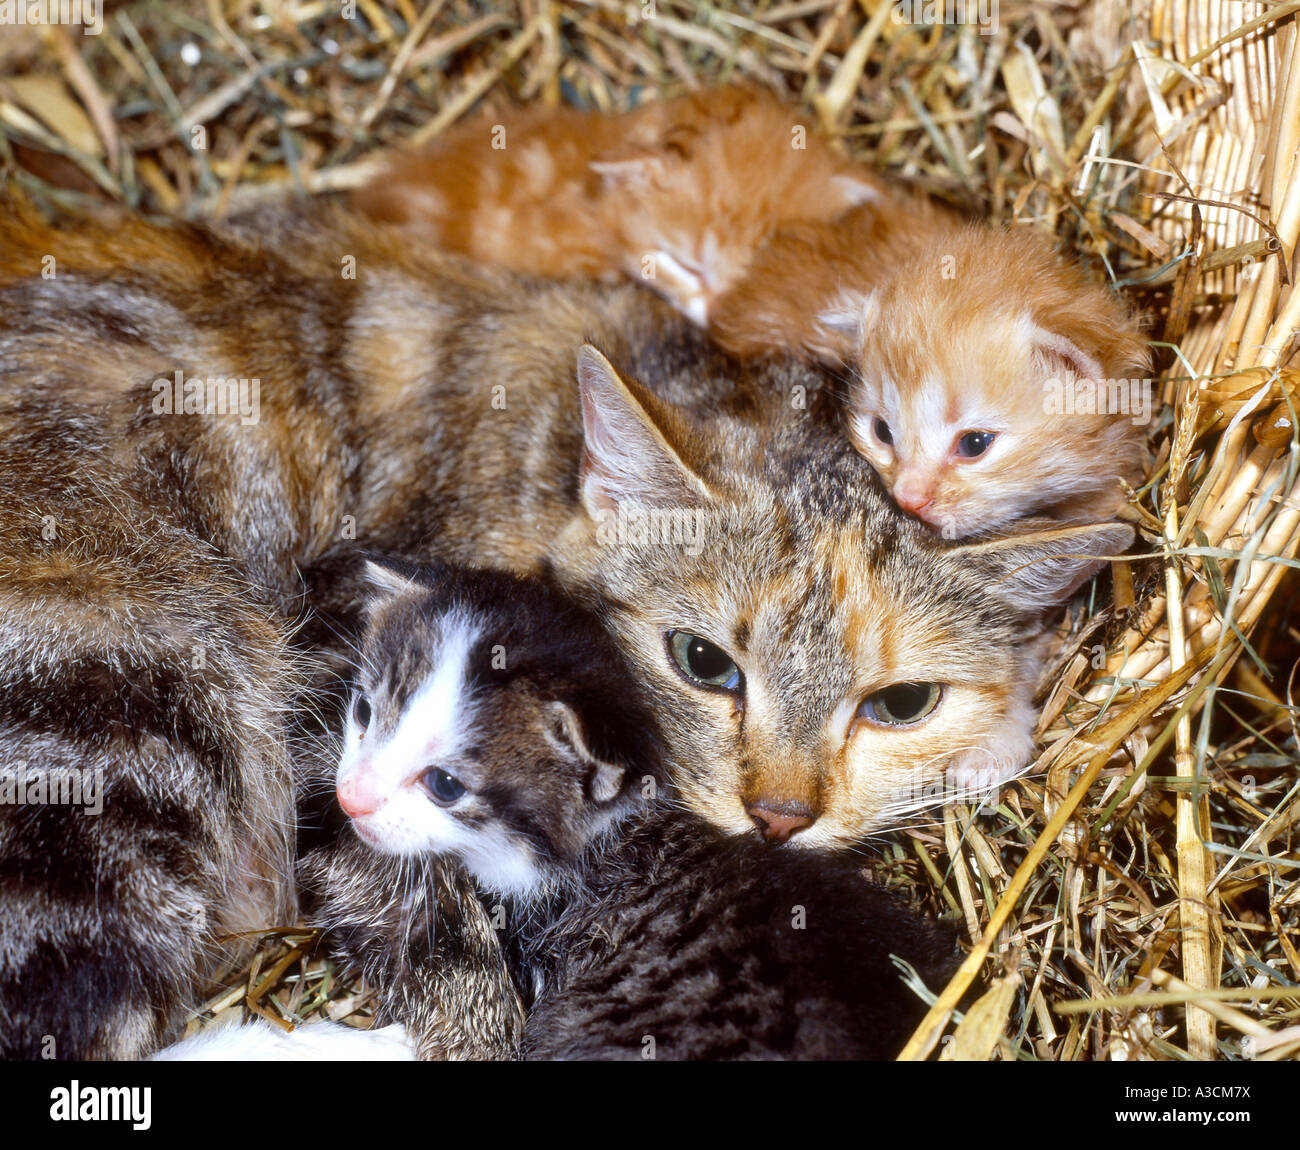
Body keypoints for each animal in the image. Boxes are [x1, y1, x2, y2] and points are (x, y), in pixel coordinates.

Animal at [0, 201, 1128, 1055]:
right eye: (703, 662)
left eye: (902, 705)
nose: (777, 816)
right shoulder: (346, 675)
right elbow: (429, 913)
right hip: (109, 716)